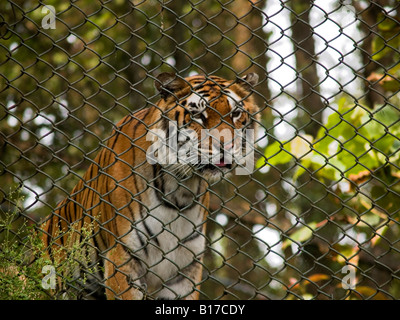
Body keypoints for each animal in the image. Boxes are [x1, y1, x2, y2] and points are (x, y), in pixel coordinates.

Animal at [41, 72, 260, 300]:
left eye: (235, 113)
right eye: (198, 115)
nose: (228, 147)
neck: (181, 189)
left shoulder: (185, 271)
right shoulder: (123, 259)